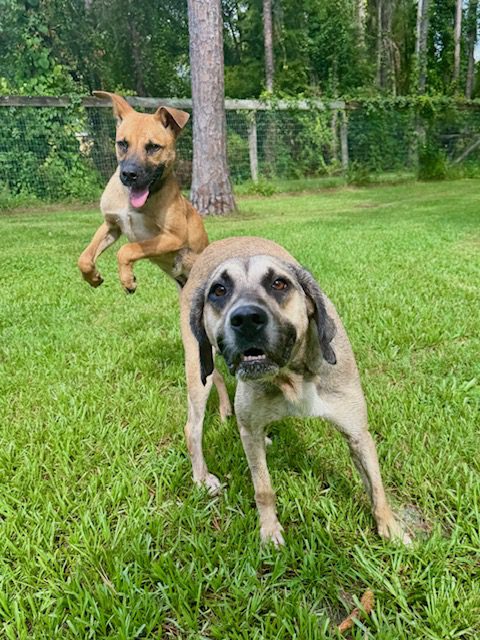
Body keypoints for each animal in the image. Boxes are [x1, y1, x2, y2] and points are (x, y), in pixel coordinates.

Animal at [77, 91, 208, 292]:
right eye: (122, 143)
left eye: (153, 147)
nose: (129, 174)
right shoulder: (111, 225)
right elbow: (84, 258)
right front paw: (93, 277)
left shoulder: (173, 237)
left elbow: (126, 250)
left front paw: (128, 280)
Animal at [181, 235, 412, 544]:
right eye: (219, 290)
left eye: (279, 284)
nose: (246, 318)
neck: (292, 374)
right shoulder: (251, 432)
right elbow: (263, 488)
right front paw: (269, 531)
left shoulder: (357, 434)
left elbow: (377, 488)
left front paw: (391, 530)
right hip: (197, 371)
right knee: (193, 427)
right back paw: (201, 478)